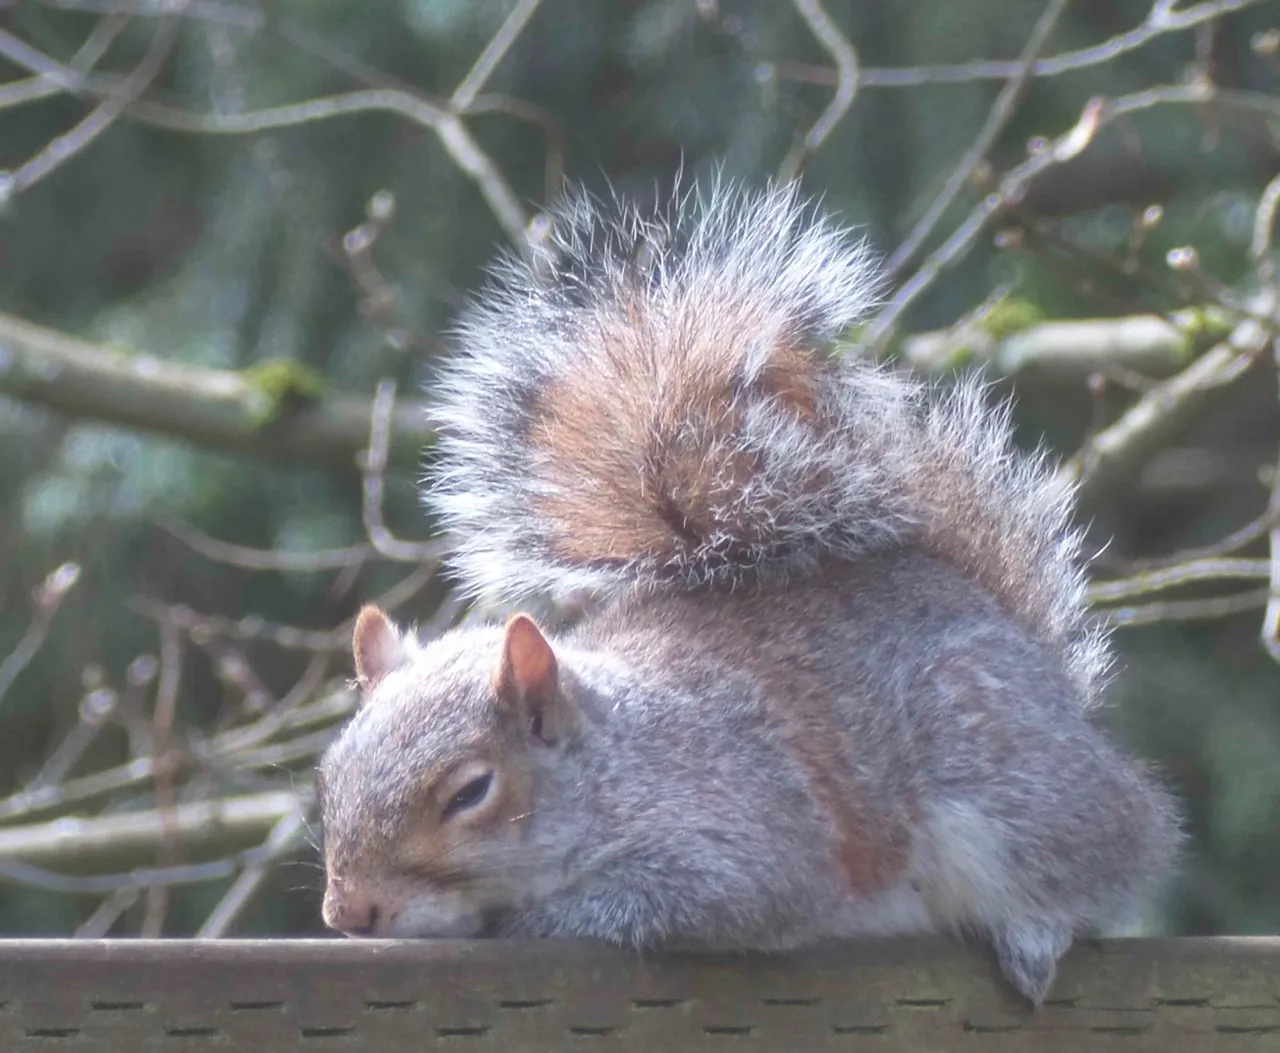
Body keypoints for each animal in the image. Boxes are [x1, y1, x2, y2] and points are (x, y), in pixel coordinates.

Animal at [317, 179, 1177, 1003]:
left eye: (471, 791)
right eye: (328, 776)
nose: (347, 911)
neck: (611, 765)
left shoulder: (738, 836)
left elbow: (695, 898)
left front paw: (522, 921)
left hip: (1007, 776)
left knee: (1094, 866)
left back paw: (1039, 931)